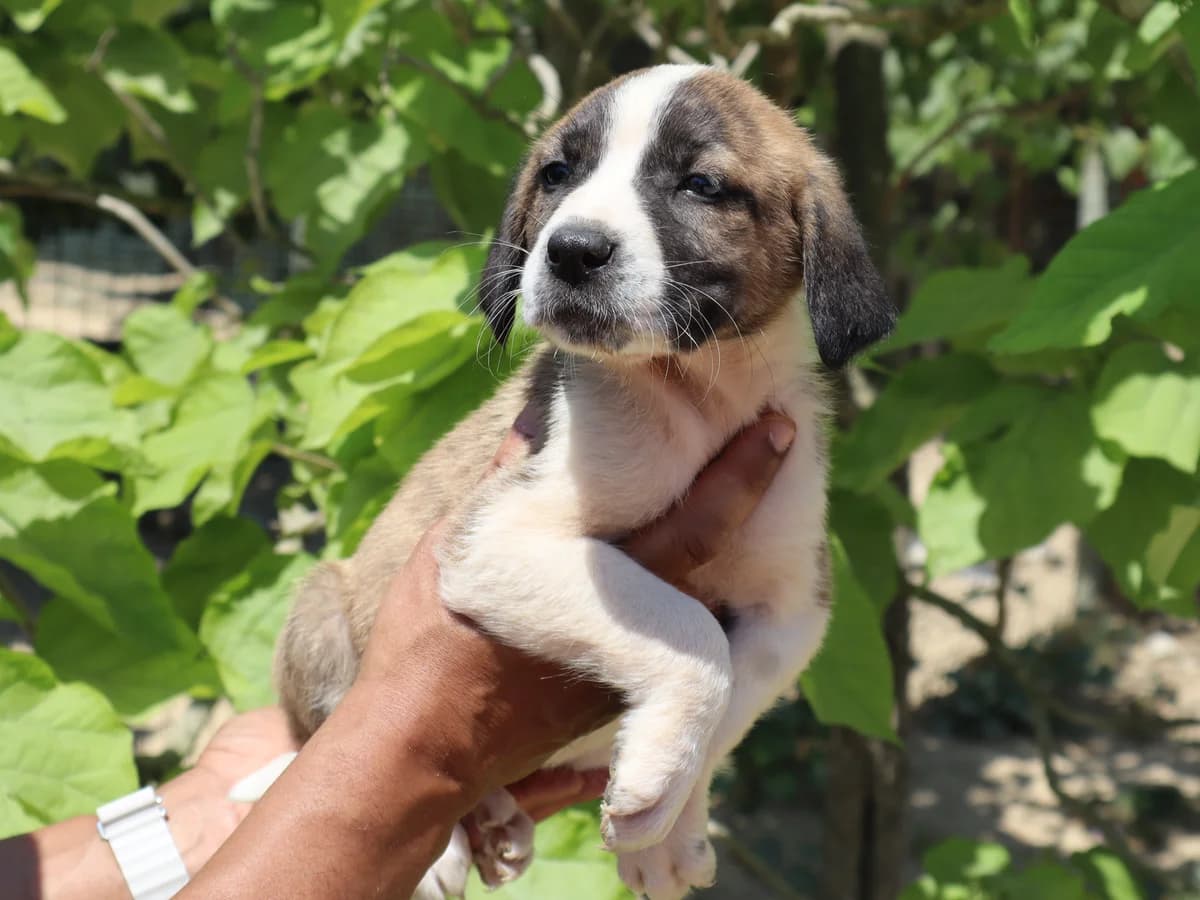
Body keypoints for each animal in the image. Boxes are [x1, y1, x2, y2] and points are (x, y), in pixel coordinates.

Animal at [273, 63, 893, 899]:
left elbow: (734, 703)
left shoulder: (792, 606)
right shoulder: (496, 538)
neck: (694, 398)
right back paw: (439, 850)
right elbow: (694, 636)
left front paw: (666, 820)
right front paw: (655, 785)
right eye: (558, 174)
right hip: (320, 606)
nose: (572, 250)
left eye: (701, 184)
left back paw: (499, 819)